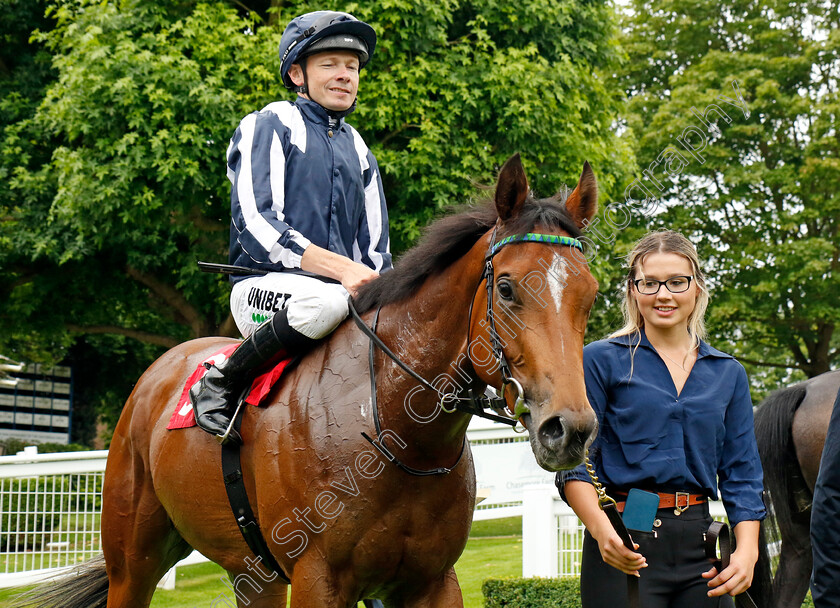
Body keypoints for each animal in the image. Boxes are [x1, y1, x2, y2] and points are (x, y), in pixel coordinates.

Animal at [8, 153, 596, 608]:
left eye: (590, 294)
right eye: (507, 288)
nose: (568, 429)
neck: (392, 429)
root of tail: (160, 371)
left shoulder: (431, 581)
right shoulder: (320, 580)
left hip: (253, 573)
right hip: (133, 560)